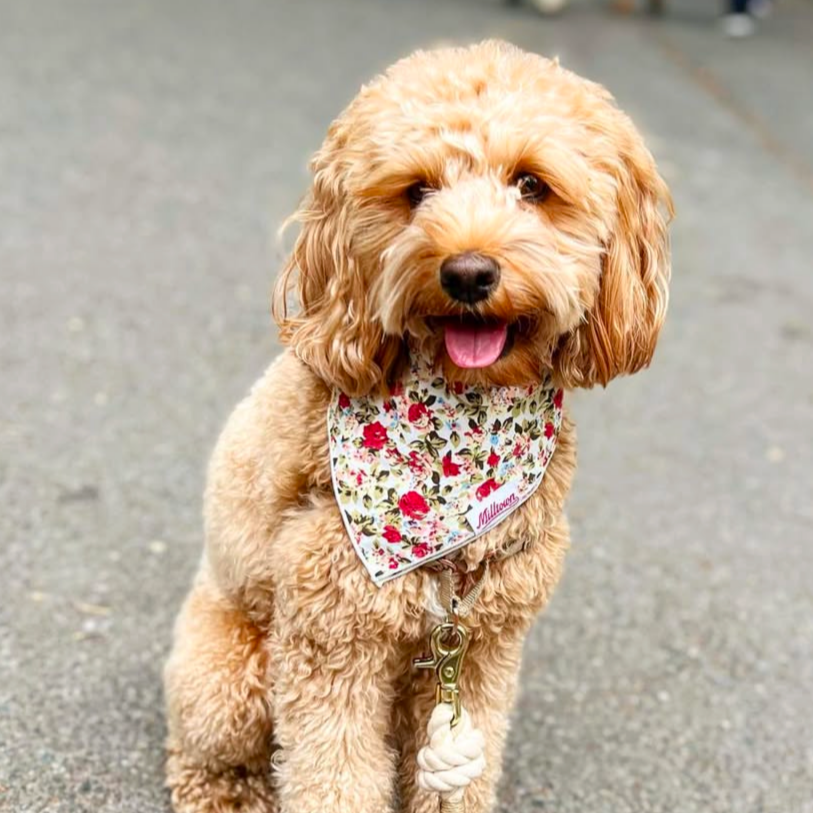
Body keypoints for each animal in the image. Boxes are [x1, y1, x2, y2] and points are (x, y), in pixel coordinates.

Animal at [162, 41, 668, 812]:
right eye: (417, 191)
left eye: (531, 184)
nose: (467, 273)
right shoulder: (330, 635)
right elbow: (333, 775)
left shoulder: (484, 643)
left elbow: (464, 766)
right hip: (226, 680)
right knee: (206, 749)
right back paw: (227, 792)